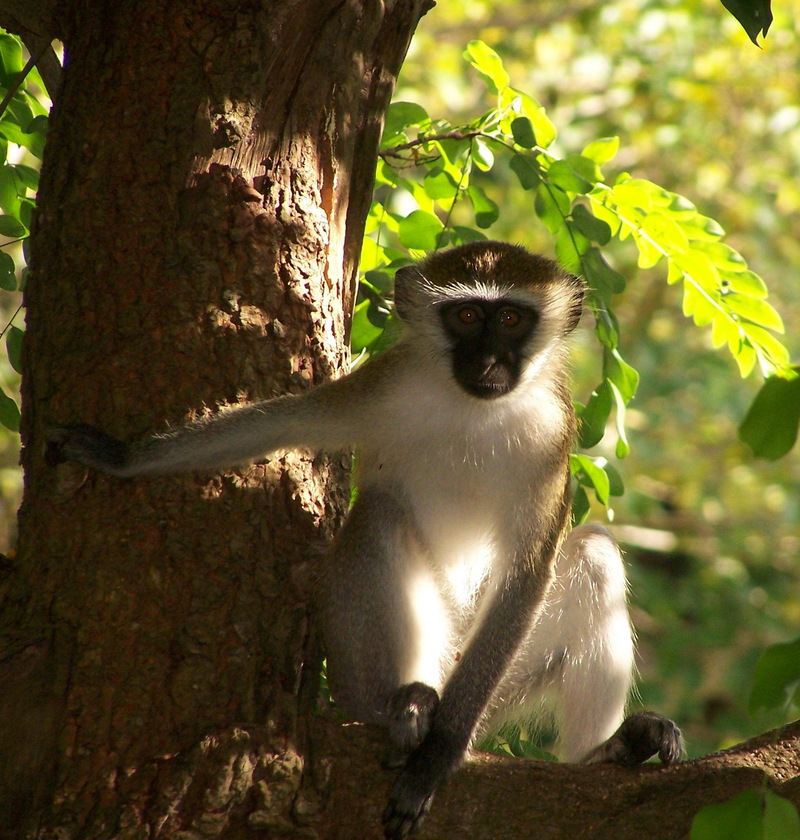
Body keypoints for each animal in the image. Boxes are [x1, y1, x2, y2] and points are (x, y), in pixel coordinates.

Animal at [45, 240, 680, 836]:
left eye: (510, 319)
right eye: (466, 317)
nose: (488, 360)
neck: (470, 409)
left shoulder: (552, 438)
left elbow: (528, 575)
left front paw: (439, 753)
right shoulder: (385, 385)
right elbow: (282, 421)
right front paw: (120, 457)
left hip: (492, 677)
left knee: (594, 555)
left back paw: (601, 753)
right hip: (408, 649)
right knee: (377, 516)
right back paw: (400, 709)